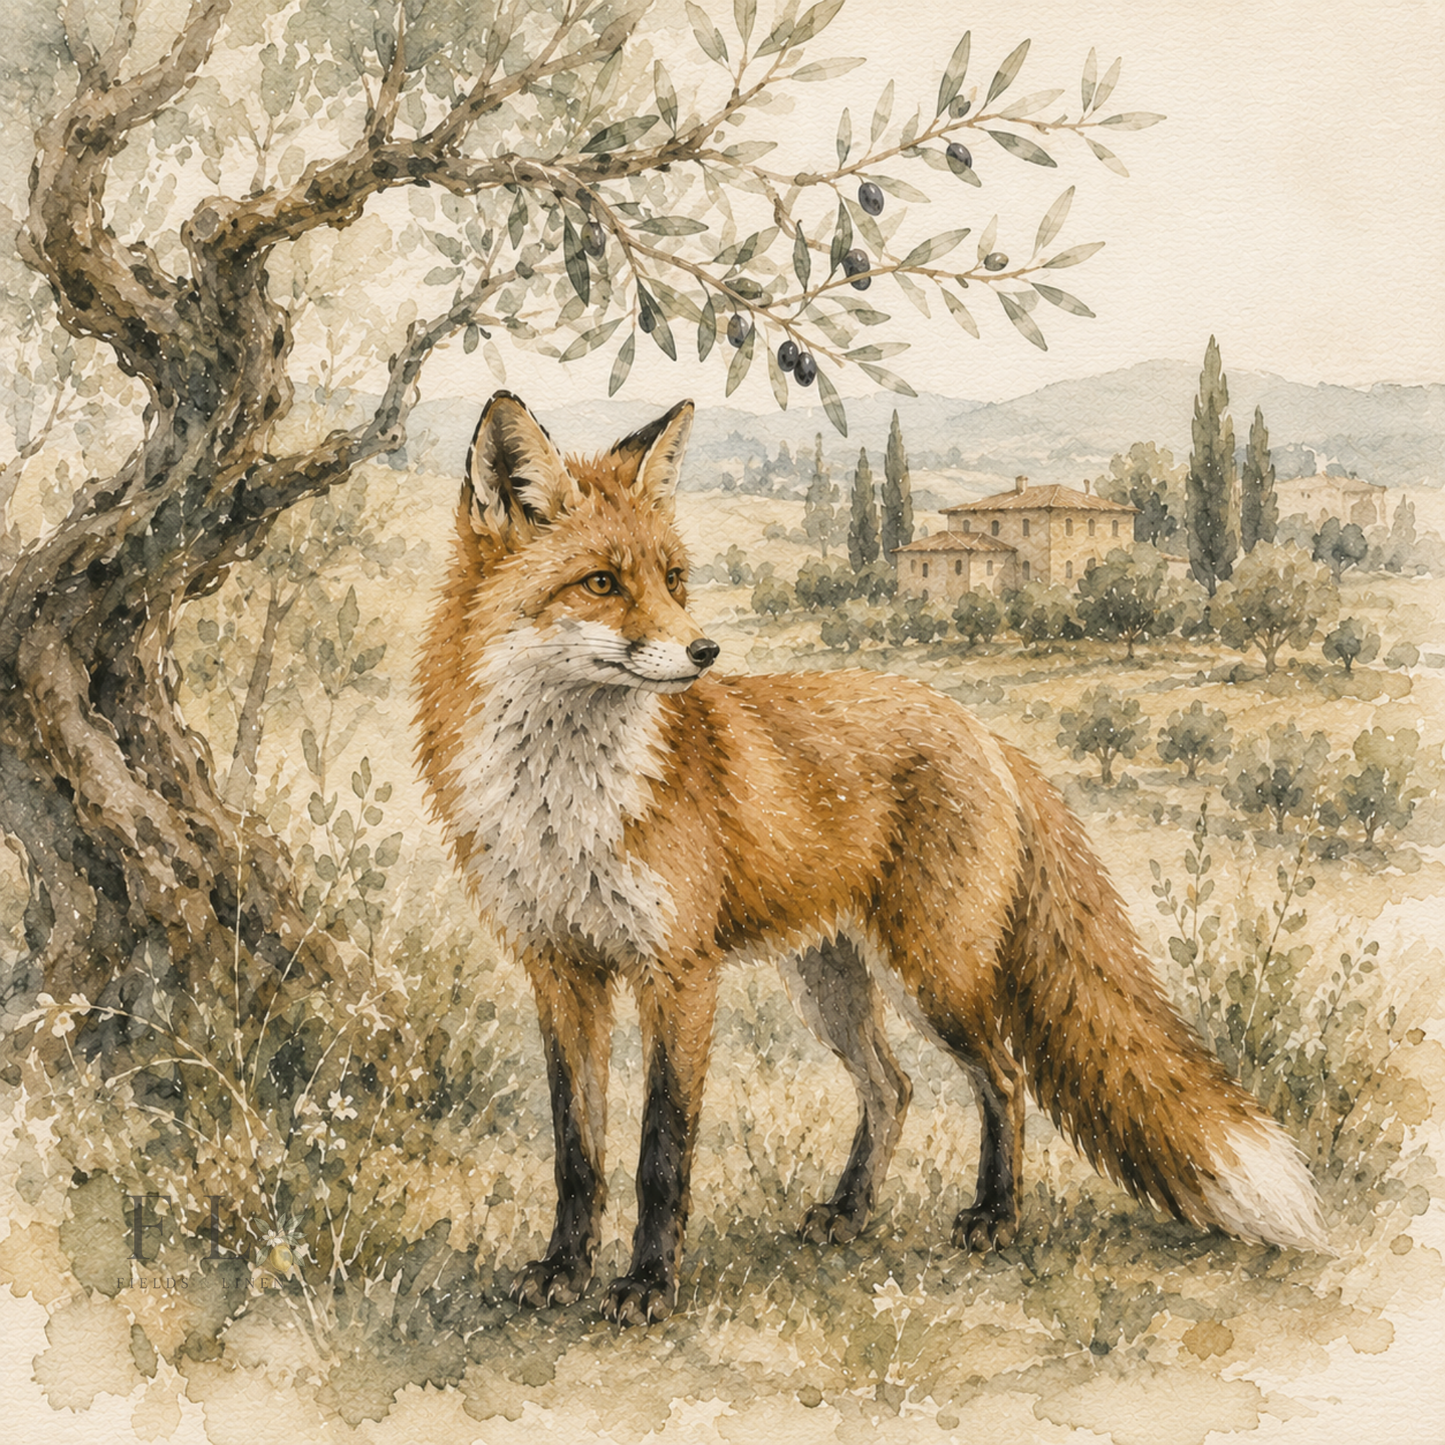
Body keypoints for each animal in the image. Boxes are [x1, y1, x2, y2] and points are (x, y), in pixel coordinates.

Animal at [414, 391, 1327, 1325]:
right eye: (601, 582)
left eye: (673, 579)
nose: (706, 653)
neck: (564, 797)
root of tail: (981, 731)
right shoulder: (560, 968)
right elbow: (577, 1150)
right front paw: (563, 1270)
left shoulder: (678, 972)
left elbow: (660, 1151)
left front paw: (646, 1284)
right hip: (831, 982)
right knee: (893, 1088)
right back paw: (849, 1210)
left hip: (935, 974)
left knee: (1002, 1079)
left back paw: (995, 1216)